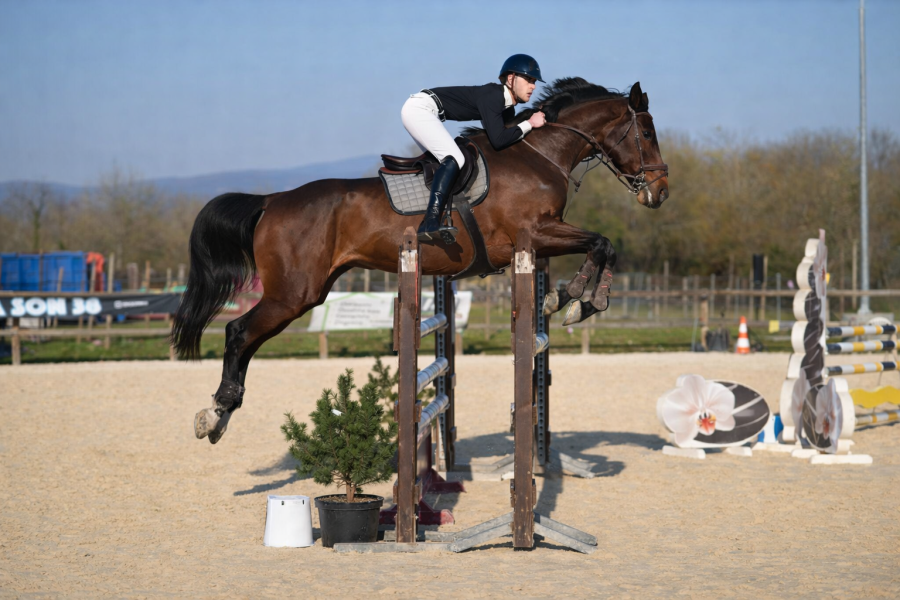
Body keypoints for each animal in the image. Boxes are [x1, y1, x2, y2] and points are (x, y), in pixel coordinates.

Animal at [172, 77, 669, 444]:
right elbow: (602, 243)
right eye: (646, 133)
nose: (660, 192)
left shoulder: (539, 241)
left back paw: (220, 412)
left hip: (306, 291)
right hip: (294, 292)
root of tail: (272, 200)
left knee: (247, 338)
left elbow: (601, 245)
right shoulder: (536, 233)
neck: (538, 154)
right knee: (239, 333)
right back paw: (216, 413)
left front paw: (572, 302)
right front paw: (578, 301)